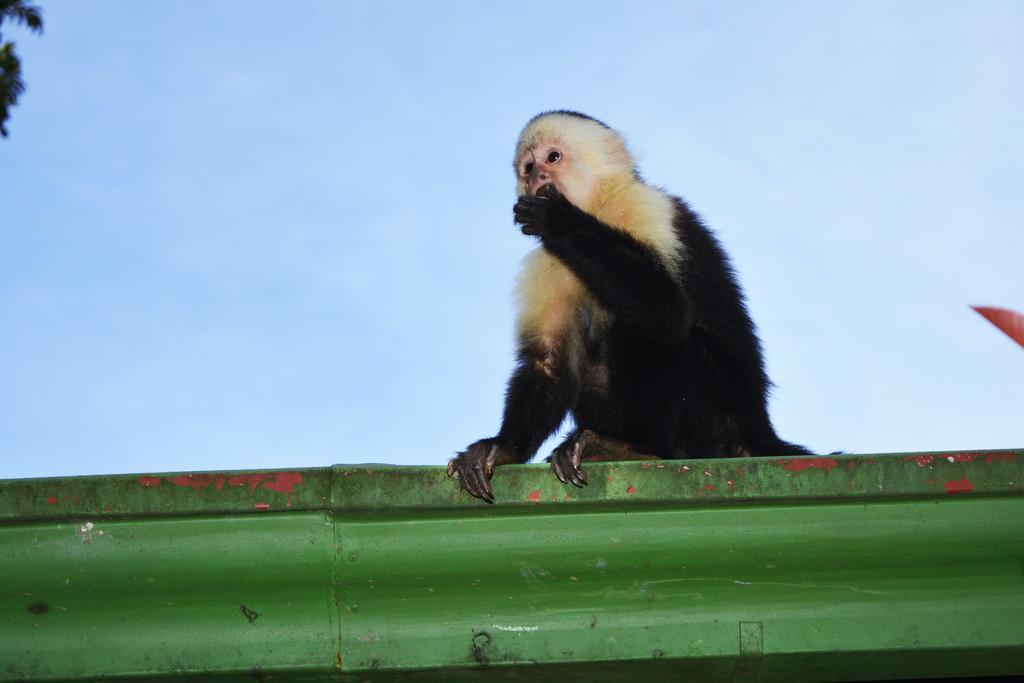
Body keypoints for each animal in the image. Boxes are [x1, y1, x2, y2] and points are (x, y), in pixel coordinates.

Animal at [448, 113, 806, 501]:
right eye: (527, 167)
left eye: (552, 158)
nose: (535, 178)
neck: (596, 209)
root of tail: (757, 432)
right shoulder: (546, 261)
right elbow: (549, 362)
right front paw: (503, 447)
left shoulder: (644, 208)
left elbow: (668, 311)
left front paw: (560, 220)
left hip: (717, 416)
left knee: (646, 330)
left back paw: (638, 447)